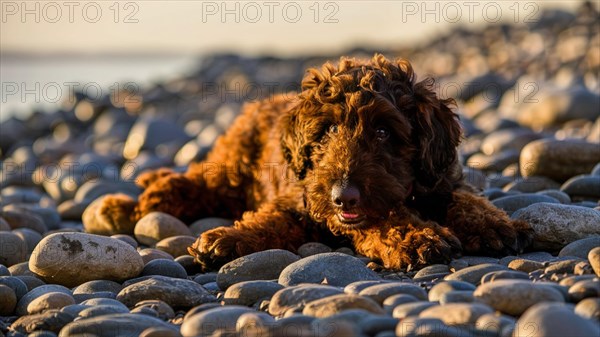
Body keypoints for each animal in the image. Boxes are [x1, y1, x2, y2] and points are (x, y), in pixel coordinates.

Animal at [96, 55, 532, 270]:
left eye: (383, 131)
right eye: (327, 131)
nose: (344, 196)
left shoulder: (440, 178)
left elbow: (464, 198)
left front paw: (492, 224)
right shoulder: (302, 199)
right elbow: (272, 221)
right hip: (232, 165)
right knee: (197, 184)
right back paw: (134, 202)